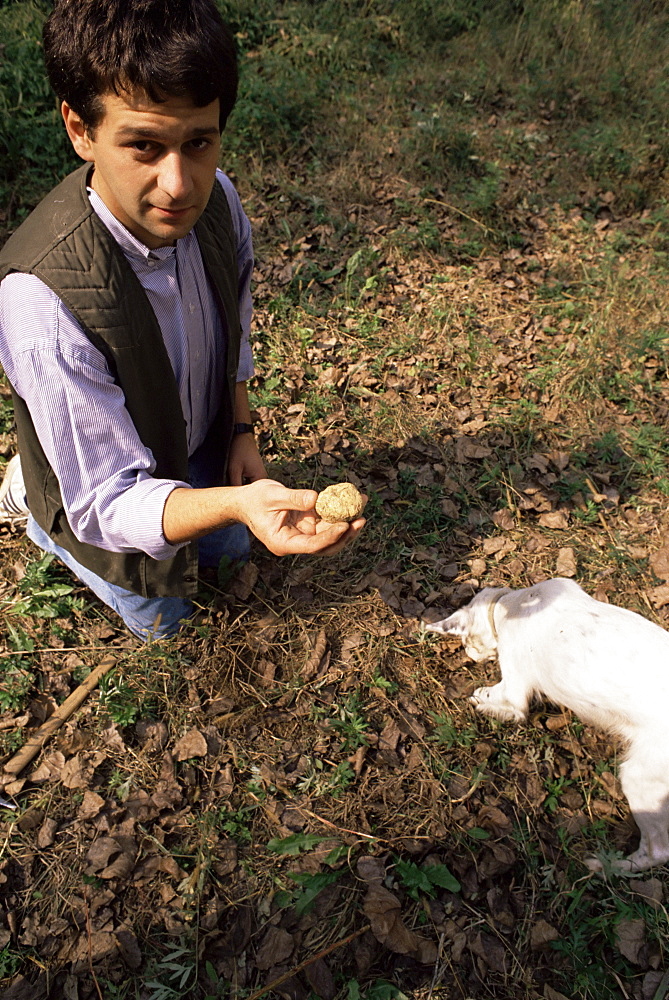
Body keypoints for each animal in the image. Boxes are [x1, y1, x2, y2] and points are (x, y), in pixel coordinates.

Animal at [426, 580, 668, 876]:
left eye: (465, 639)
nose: (469, 653)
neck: (510, 603)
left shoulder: (515, 692)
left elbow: (491, 699)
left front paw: (479, 700)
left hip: (641, 777)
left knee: (658, 851)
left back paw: (607, 866)